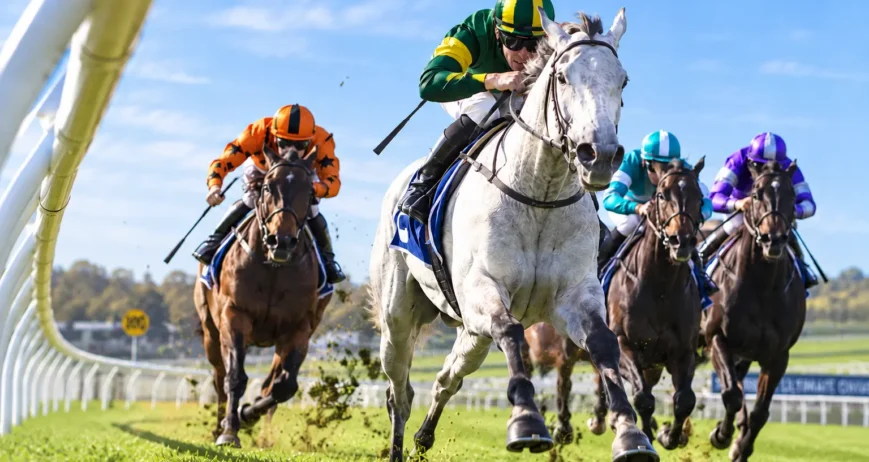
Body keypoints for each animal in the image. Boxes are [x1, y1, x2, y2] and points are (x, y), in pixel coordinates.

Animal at [193, 150, 331, 448]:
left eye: (309, 191)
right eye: (268, 187)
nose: (282, 241)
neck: (273, 268)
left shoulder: (299, 328)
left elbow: (283, 386)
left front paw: (247, 415)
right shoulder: (234, 315)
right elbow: (234, 377)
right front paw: (229, 431)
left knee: (272, 382)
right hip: (210, 332)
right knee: (218, 377)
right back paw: (218, 425)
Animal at [370, 9, 659, 462]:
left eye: (623, 80)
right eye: (563, 77)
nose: (599, 155)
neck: (540, 193)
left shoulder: (574, 296)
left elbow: (603, 343)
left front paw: (630, 433)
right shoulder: (482, 289)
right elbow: (510, 333)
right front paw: (526, 421)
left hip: (471, 333)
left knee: (448, 376)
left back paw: (424, 436)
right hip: (398, 317)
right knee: (399, 390)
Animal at [703, 160, 806, 461]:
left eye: (792, 197)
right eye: (757, 194)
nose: (774, 239)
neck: (762, 285)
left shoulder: (778, 355)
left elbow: (761, 410)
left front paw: (740, 446)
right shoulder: (716, 337)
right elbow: (731, 395)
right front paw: (721, 435)